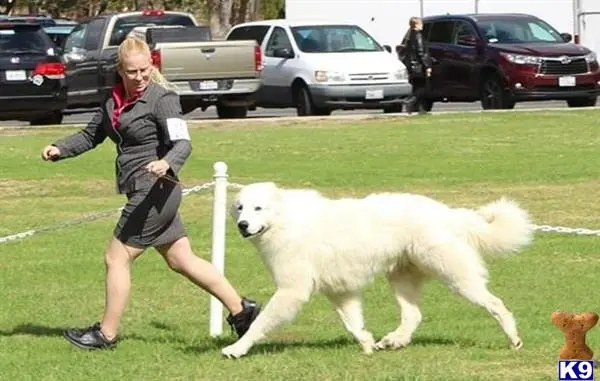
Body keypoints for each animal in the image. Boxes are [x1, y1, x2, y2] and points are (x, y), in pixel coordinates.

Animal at [221, 180, 536, 356]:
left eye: (257, 208)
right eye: (239, 208)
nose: (243, 225)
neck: (284, 220)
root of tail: (449, 213)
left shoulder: (291, 290)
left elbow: (260, 324)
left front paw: (236, 349)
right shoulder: (340, 291)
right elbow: (352, 322)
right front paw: (368, 345)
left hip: (454, 274)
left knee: (495, 303)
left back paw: (514, 339)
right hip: (401, 277)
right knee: (413, 315)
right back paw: (393, 341)